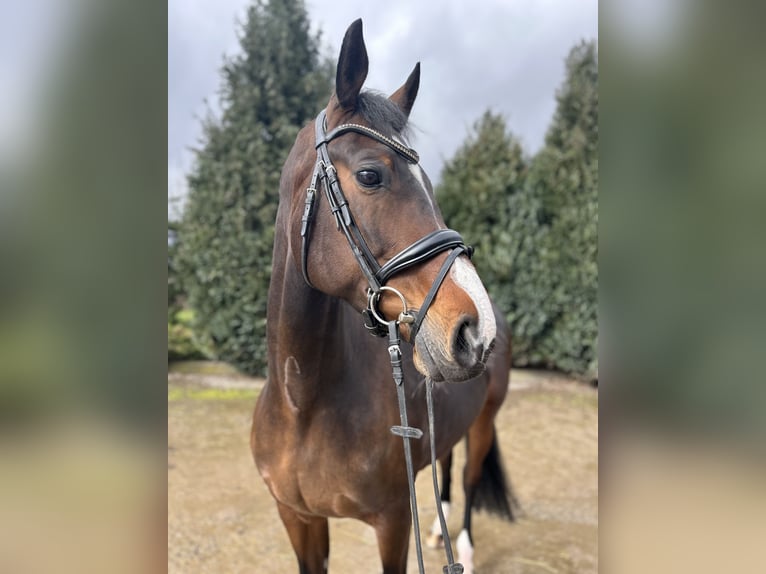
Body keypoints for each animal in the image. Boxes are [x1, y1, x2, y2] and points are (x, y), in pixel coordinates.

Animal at [254, 18, 516, 574]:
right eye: (371, 175)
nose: (476, 331)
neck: (301, 407)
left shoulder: (393, 522)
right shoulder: (299, 520)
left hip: (485, 421)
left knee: (468, 478)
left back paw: (462, 546)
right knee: (446, 461)